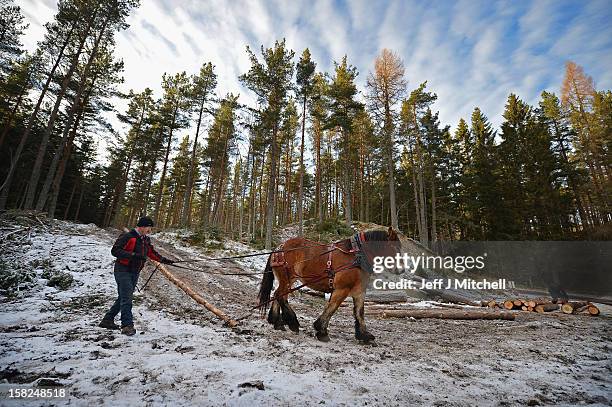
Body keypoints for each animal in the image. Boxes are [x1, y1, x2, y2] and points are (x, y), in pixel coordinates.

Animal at [258, 228, 402, 342]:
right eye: (396, 247)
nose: (401, 270)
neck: (356, 256)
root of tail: (279, 247)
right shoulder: (342, 289)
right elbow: (332, 308)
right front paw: (321, 331)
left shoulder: (359, 290)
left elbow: (359, 312)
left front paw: (364, 335)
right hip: (288, 279)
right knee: (280, 295)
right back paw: (292, 323)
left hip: (288, 280)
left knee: (278, 295)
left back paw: (278, 323)